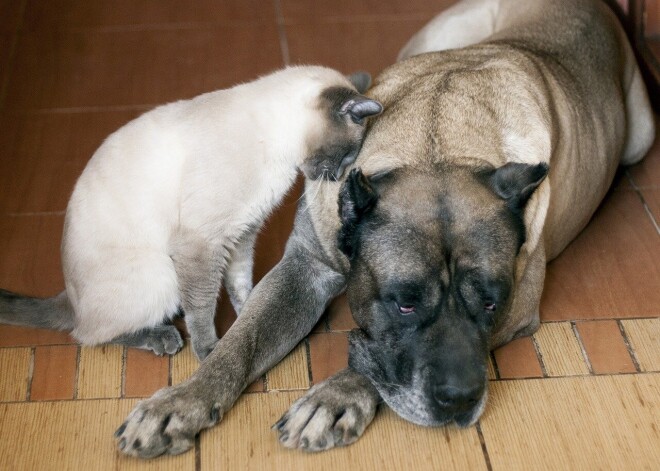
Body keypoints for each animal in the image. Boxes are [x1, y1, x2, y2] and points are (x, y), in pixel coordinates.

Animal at [0, 66, 382, 362]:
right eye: (348, 155)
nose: (338, 176)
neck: (279, 154)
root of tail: (68, 296)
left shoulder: (241, 236)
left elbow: (241, 285)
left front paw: (250, 317)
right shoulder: (202, 245)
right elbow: (202, 306)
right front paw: (209, 349)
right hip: (162, 275)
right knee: (88, 334)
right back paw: (163, 337)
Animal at [114, 0, 656, 458]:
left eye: (491, 303)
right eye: (404, 303)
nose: (460, 401)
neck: (437, 143)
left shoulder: (520, 307)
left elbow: (372, 366)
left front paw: (336, 395)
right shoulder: (305, 267)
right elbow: (239, 343)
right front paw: (181, 400)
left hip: (642, 136)